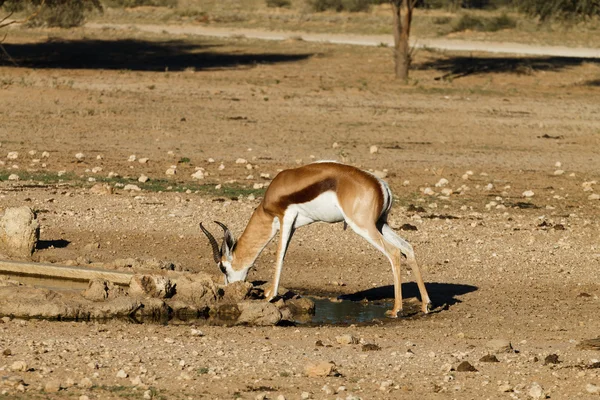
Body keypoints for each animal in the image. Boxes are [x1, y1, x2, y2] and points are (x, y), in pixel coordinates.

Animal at [202, 160, 432, 316]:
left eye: (223, 268)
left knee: (394, 252)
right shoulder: (293, 225)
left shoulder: (285, 219)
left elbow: (279, 256)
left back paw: (396, 310)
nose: (228, 289)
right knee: (407, 248)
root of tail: (380, 185)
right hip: (380, 224)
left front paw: (270, 295)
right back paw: (425, 305)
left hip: (364, 227)